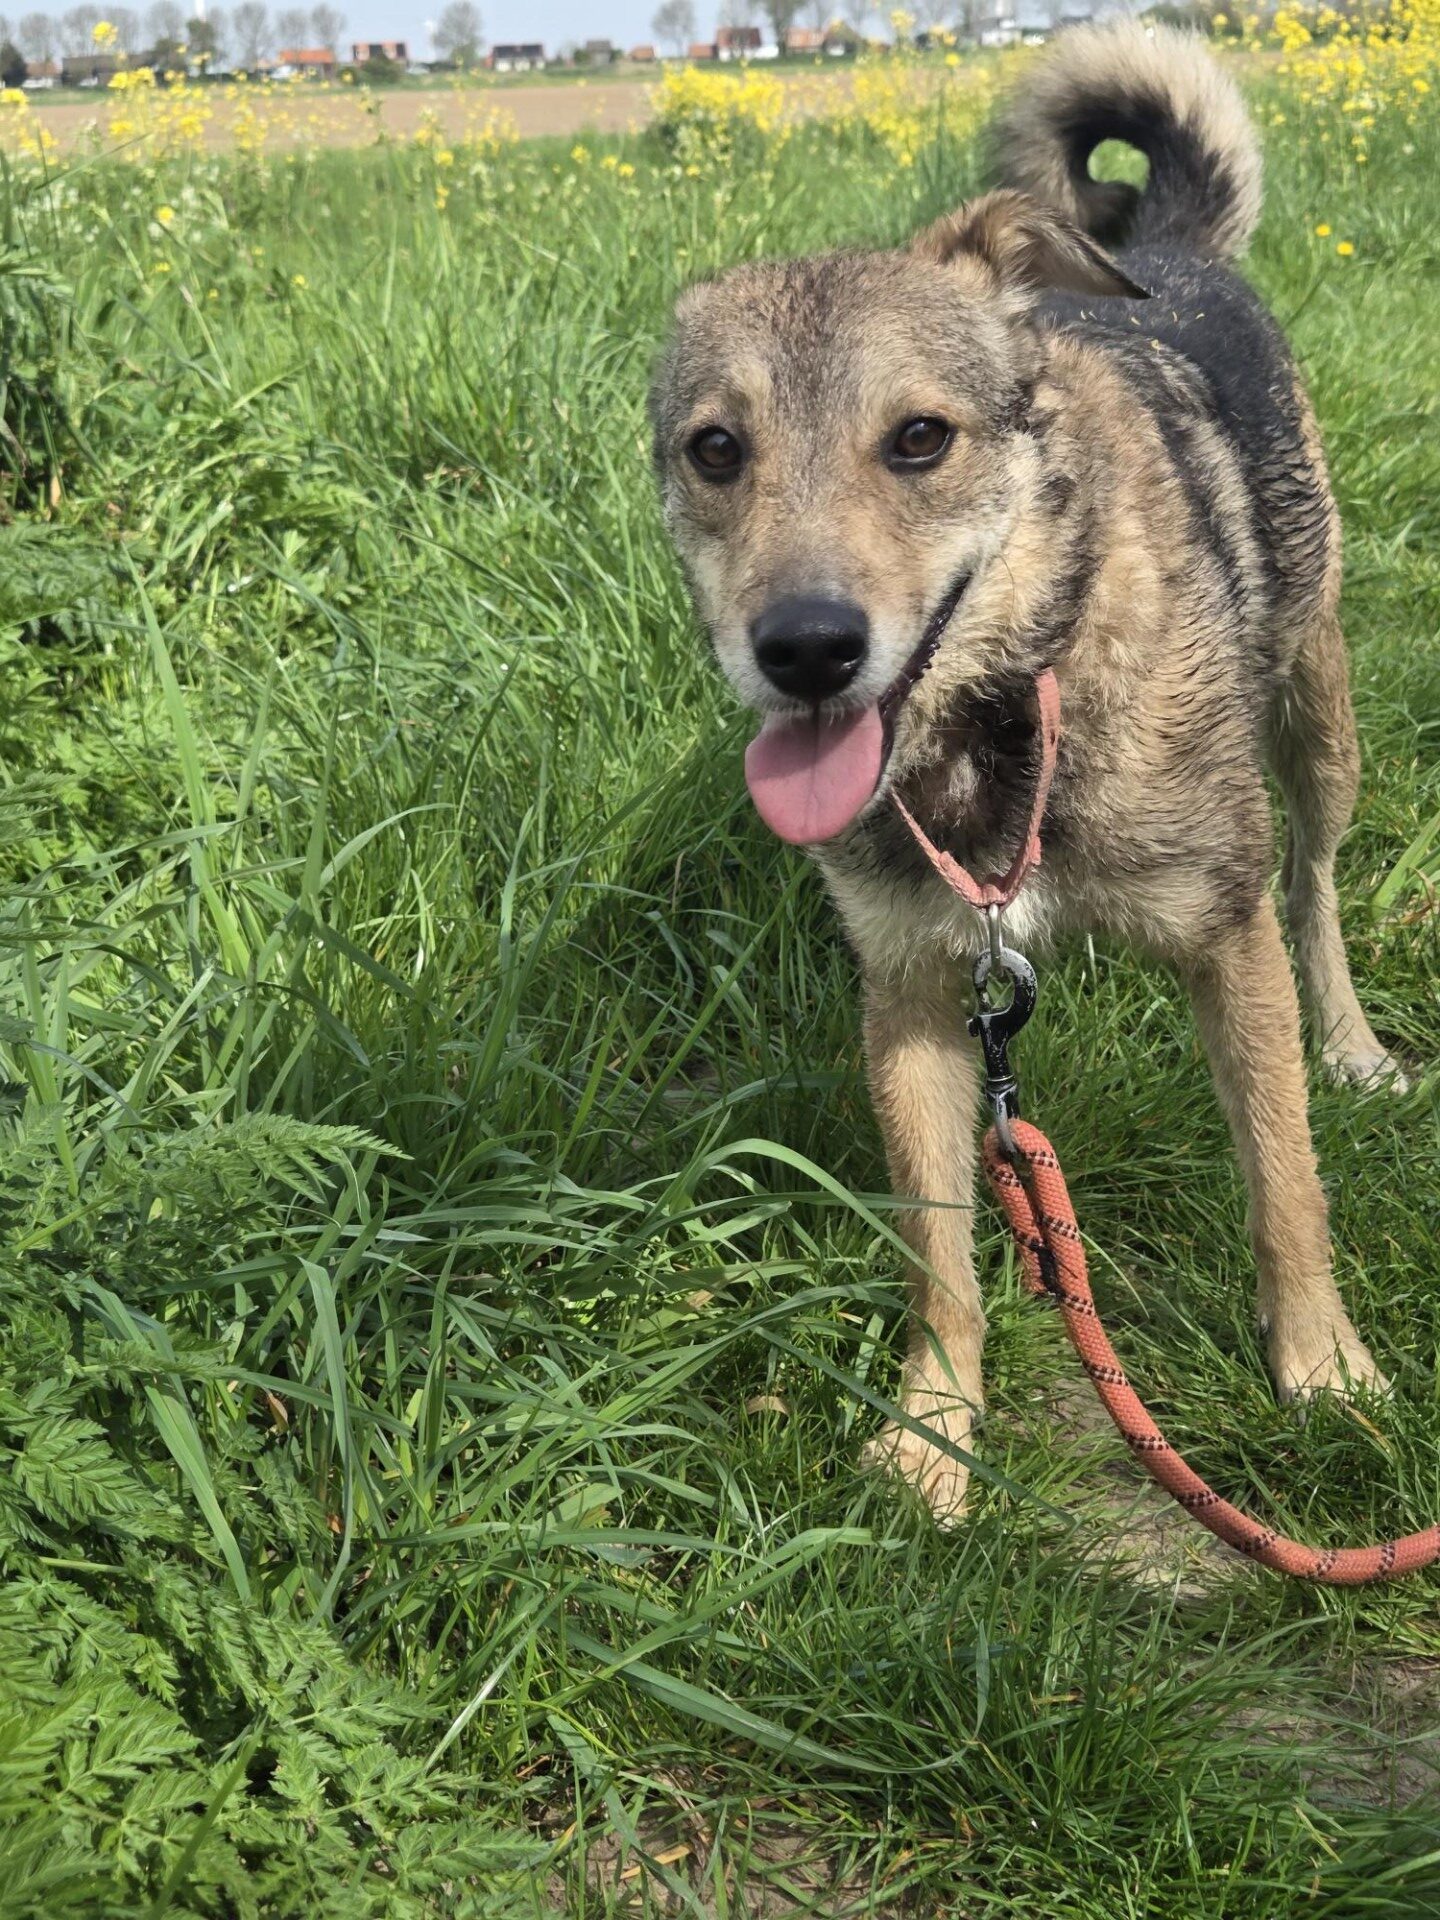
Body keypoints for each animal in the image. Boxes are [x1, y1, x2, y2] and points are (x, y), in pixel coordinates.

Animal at [649, 23, 1406, 1518]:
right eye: (716, 450)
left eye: (921, 438)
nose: (805, 650)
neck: (1005, 714)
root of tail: (1165, 250)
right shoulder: (915, 992)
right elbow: (938, 1248)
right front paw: (934, 1432)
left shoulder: (1226, 939)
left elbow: (1284, 1183)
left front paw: (1325, 1371)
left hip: (1319, 714)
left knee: (1318, 885)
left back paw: (1352, 1041)